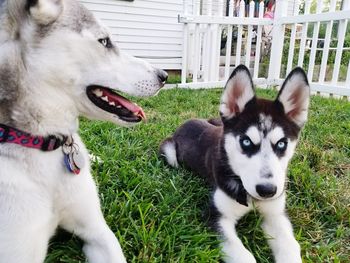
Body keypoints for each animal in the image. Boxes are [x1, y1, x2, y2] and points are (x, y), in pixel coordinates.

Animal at [160, 65, 310, 263]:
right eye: (246, 142)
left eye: (281, 144)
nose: (267, 190)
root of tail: (187, 121)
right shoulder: (216, 216)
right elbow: (243, 256)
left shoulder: (275, 214)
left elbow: (290, 246)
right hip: (170, 152)